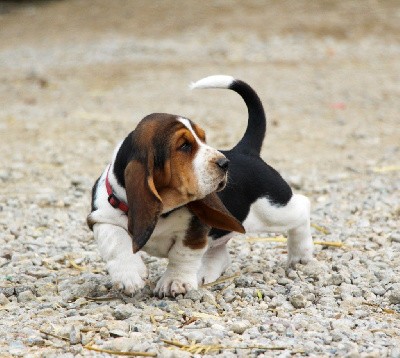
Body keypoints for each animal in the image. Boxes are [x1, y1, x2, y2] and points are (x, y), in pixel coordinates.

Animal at [87, 77, 312, 298]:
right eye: (184, 145)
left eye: (203, 139)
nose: (225, 163)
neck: (165, 210)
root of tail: (245, 151)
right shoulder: (101, 217)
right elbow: (114, 240)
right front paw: (129, 275)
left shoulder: (194, 232)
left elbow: (182, 254)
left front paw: (174, 281)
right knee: (220, 252)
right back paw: (205, 273)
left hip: (273, 210)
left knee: (302, 207)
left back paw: (300, 255)